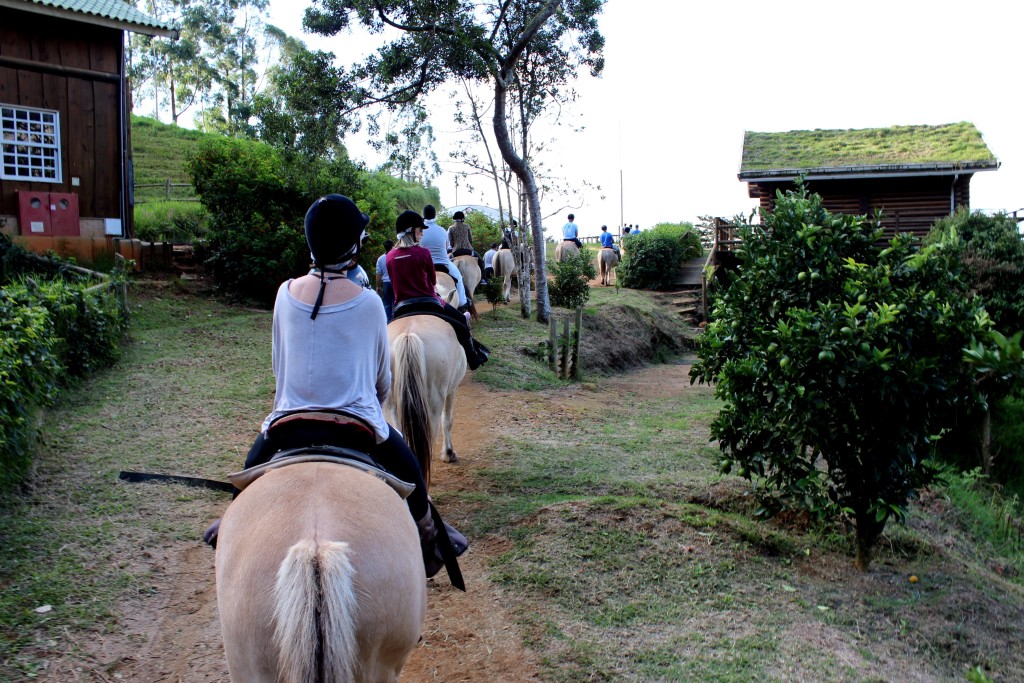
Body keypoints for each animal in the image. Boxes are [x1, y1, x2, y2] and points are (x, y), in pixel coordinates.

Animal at [385, 315, 468, 485]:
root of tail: (408, 335)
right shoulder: (452, 390)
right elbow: (447, 421)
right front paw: (448, 453)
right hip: (432, 405)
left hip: (390, 405)